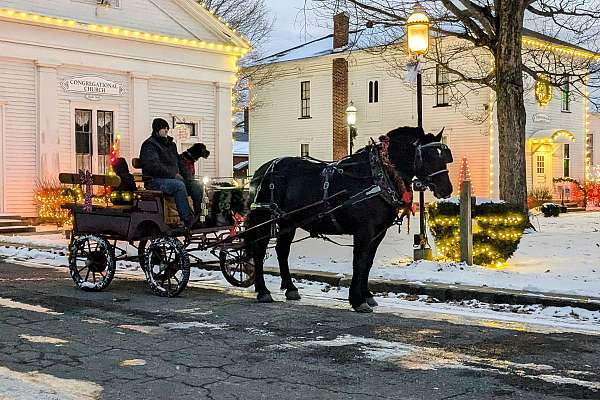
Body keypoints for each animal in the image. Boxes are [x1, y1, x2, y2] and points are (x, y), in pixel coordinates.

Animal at [243, 126, 450, 312]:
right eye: (429, 156)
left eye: (444, 156)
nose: (447, 189)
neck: (379, 175)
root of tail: (262, 170)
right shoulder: (364, 231)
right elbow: (359, 261)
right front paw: (358, 300)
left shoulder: (378, 233)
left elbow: (368, 262)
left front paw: (367, 295)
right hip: (264, 217)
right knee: (259, 251)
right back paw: (263, 291)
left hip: (288, 221)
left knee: (282, 250)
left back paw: (291, 289)